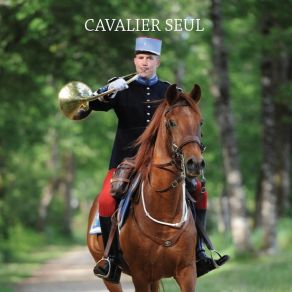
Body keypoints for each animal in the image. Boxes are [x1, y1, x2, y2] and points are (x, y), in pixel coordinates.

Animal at [87, 83, 205, 290]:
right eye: (172, 123)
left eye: (200, 123)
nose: (195, 163)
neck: (164, 208)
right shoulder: (140, 275)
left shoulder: (187, 272)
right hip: (110, 278)